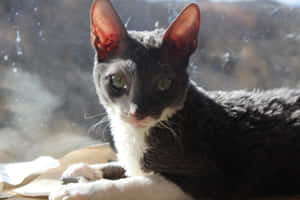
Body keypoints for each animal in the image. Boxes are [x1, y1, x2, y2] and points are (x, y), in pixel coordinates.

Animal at [49, 0, 300, 200]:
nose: (137, 112)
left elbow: (134, 183)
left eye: (163, 84)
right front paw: (85, 168)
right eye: (118, 80)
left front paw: (80, 190)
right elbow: (126, 166)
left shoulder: (205, 178)